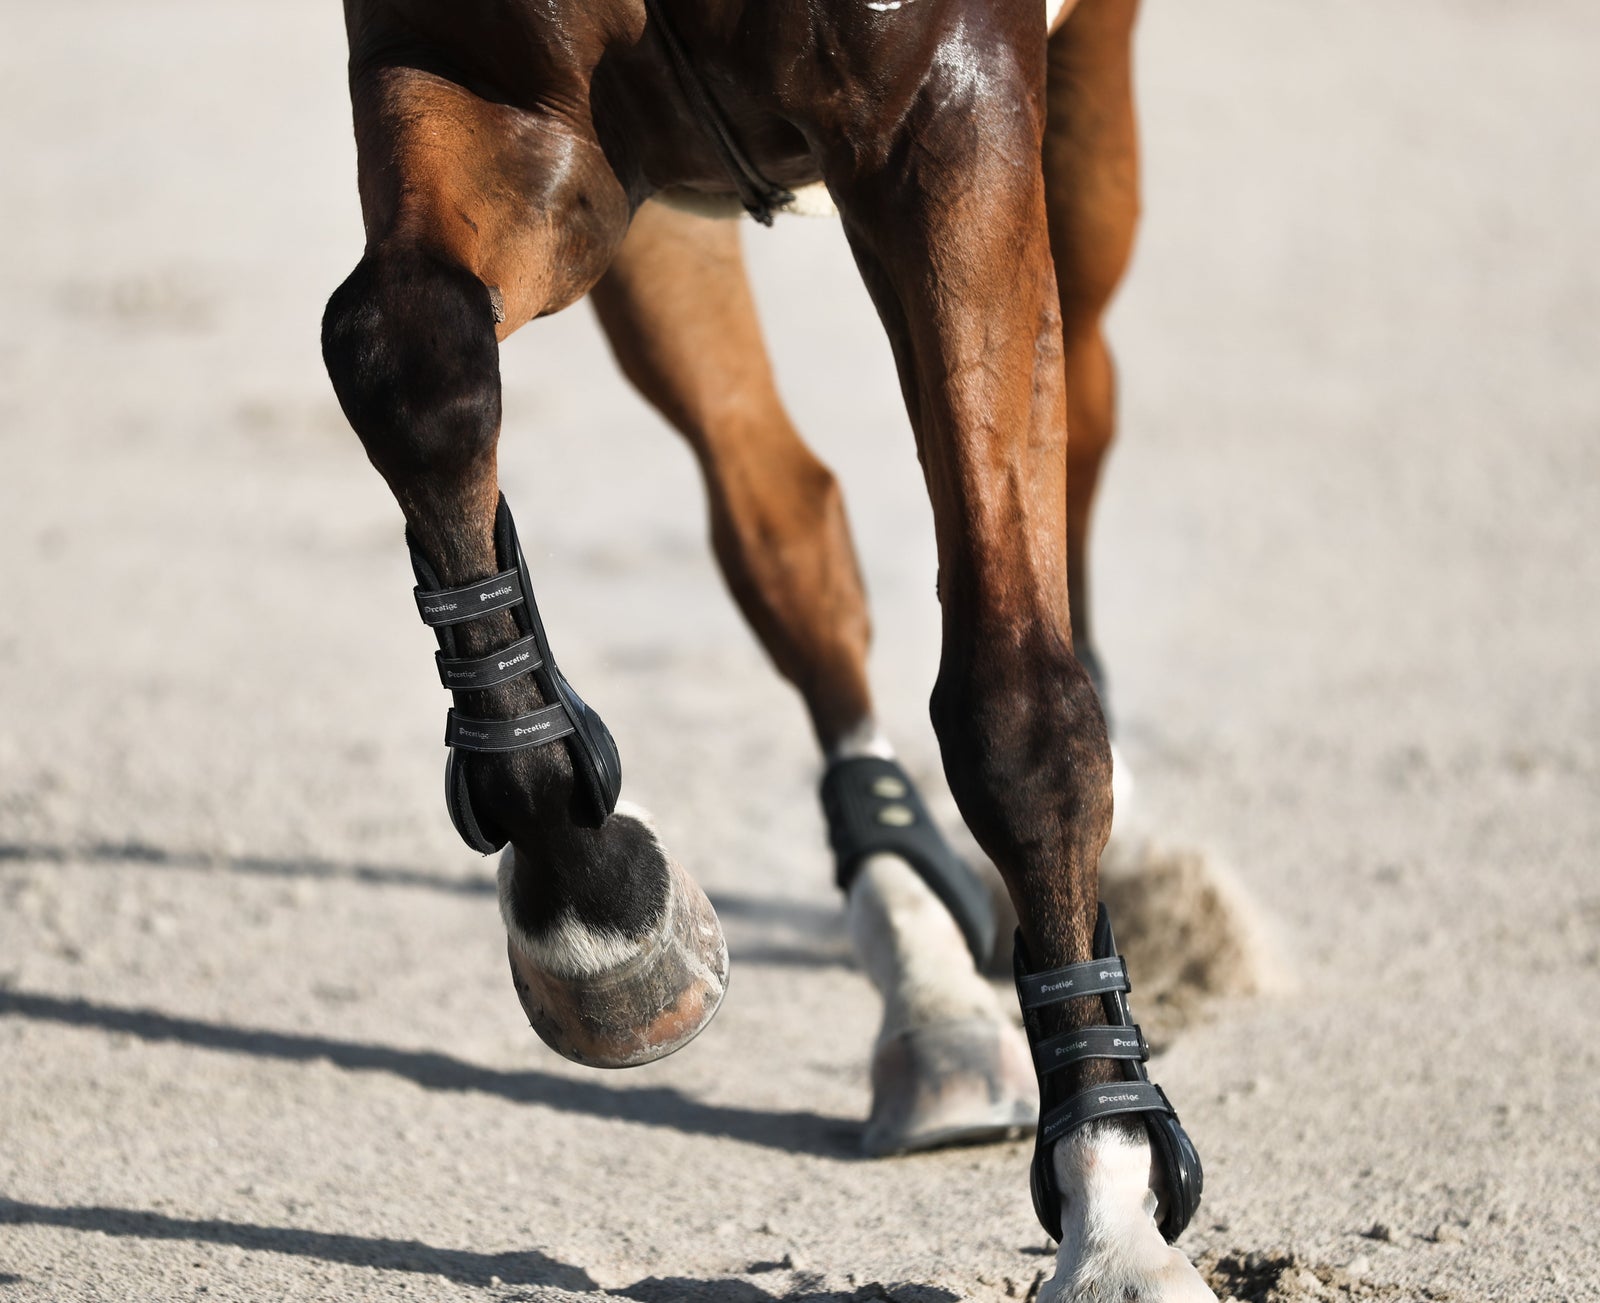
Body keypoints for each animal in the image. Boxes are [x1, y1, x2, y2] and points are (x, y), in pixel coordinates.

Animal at [319, 0, 1212, 1298]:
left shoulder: (948, 109)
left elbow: (1014, 702)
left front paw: (1112, 1212)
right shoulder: (493, 96)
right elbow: (406, 351)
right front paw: (595, 907)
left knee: (1082, 393)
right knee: (782, 520)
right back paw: (921, 978)